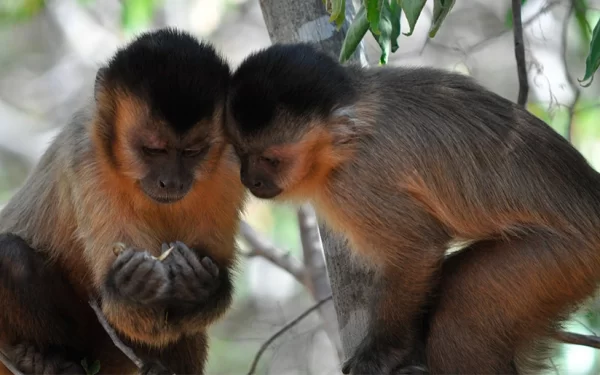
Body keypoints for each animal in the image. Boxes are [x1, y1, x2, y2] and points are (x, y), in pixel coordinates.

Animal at [0, 27, 246, 374]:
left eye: (192, 152)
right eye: (154, 150)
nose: (172, 181)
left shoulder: (230, 166)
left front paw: (199, 288)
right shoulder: (86, 156)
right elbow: (126, 311)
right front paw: (133, 288)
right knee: (10, 256)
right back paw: (47, 359)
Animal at [224, 42, 600, 374]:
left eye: (271, 160)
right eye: (241, 153)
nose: (249, 180)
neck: (345, 142)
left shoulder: (357, 182)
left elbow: (417, 248)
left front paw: (381, 355)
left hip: (563, 258)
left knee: (460, 313)